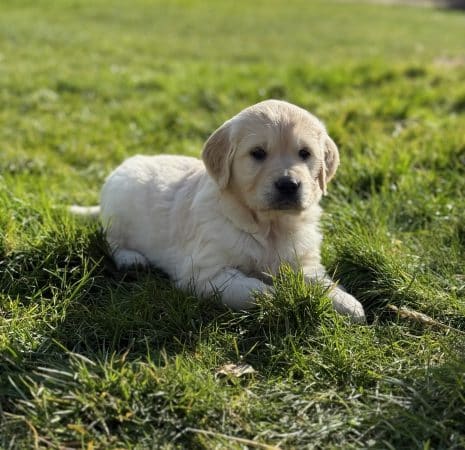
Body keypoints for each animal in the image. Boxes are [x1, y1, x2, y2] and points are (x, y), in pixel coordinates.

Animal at [96, 100, 362, 322]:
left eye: (305, 153)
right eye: (258, 153)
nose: (288, 185)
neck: (269, 226)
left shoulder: (304, 261)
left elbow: (322, 282)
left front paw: (348, 303)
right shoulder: (205, 273)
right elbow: (255, 290)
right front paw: (278, 297)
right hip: (117, 211)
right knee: (111, 242)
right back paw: (132, 259)